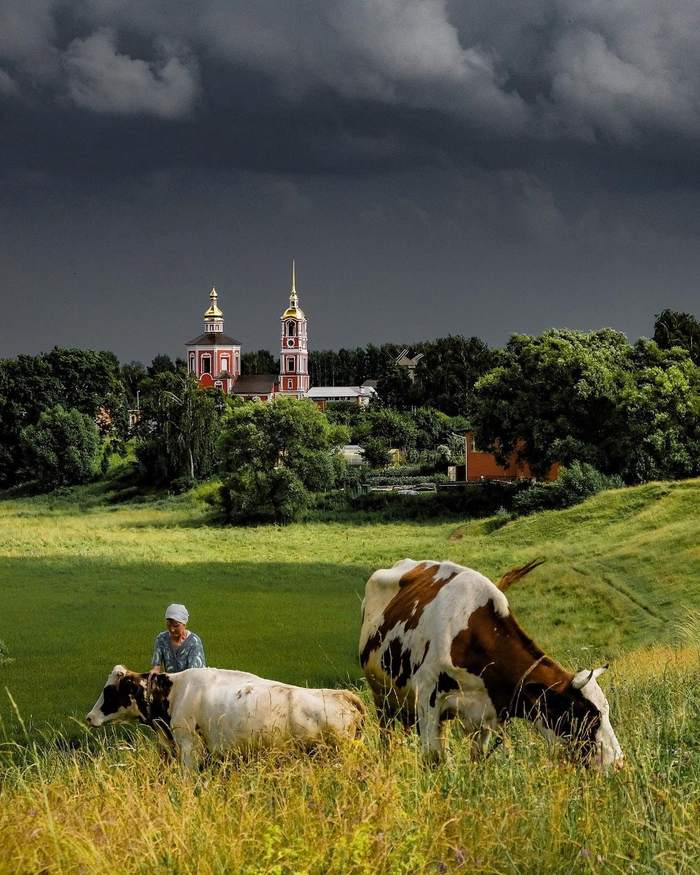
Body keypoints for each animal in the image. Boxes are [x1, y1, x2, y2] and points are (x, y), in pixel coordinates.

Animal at [360, 556, 624, 768]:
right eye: (589, 717)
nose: (619, 764)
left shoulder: (486, 714)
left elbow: (477, 758)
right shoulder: (428, 699)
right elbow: (433, 759)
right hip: (381, 697)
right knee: (386, 737)